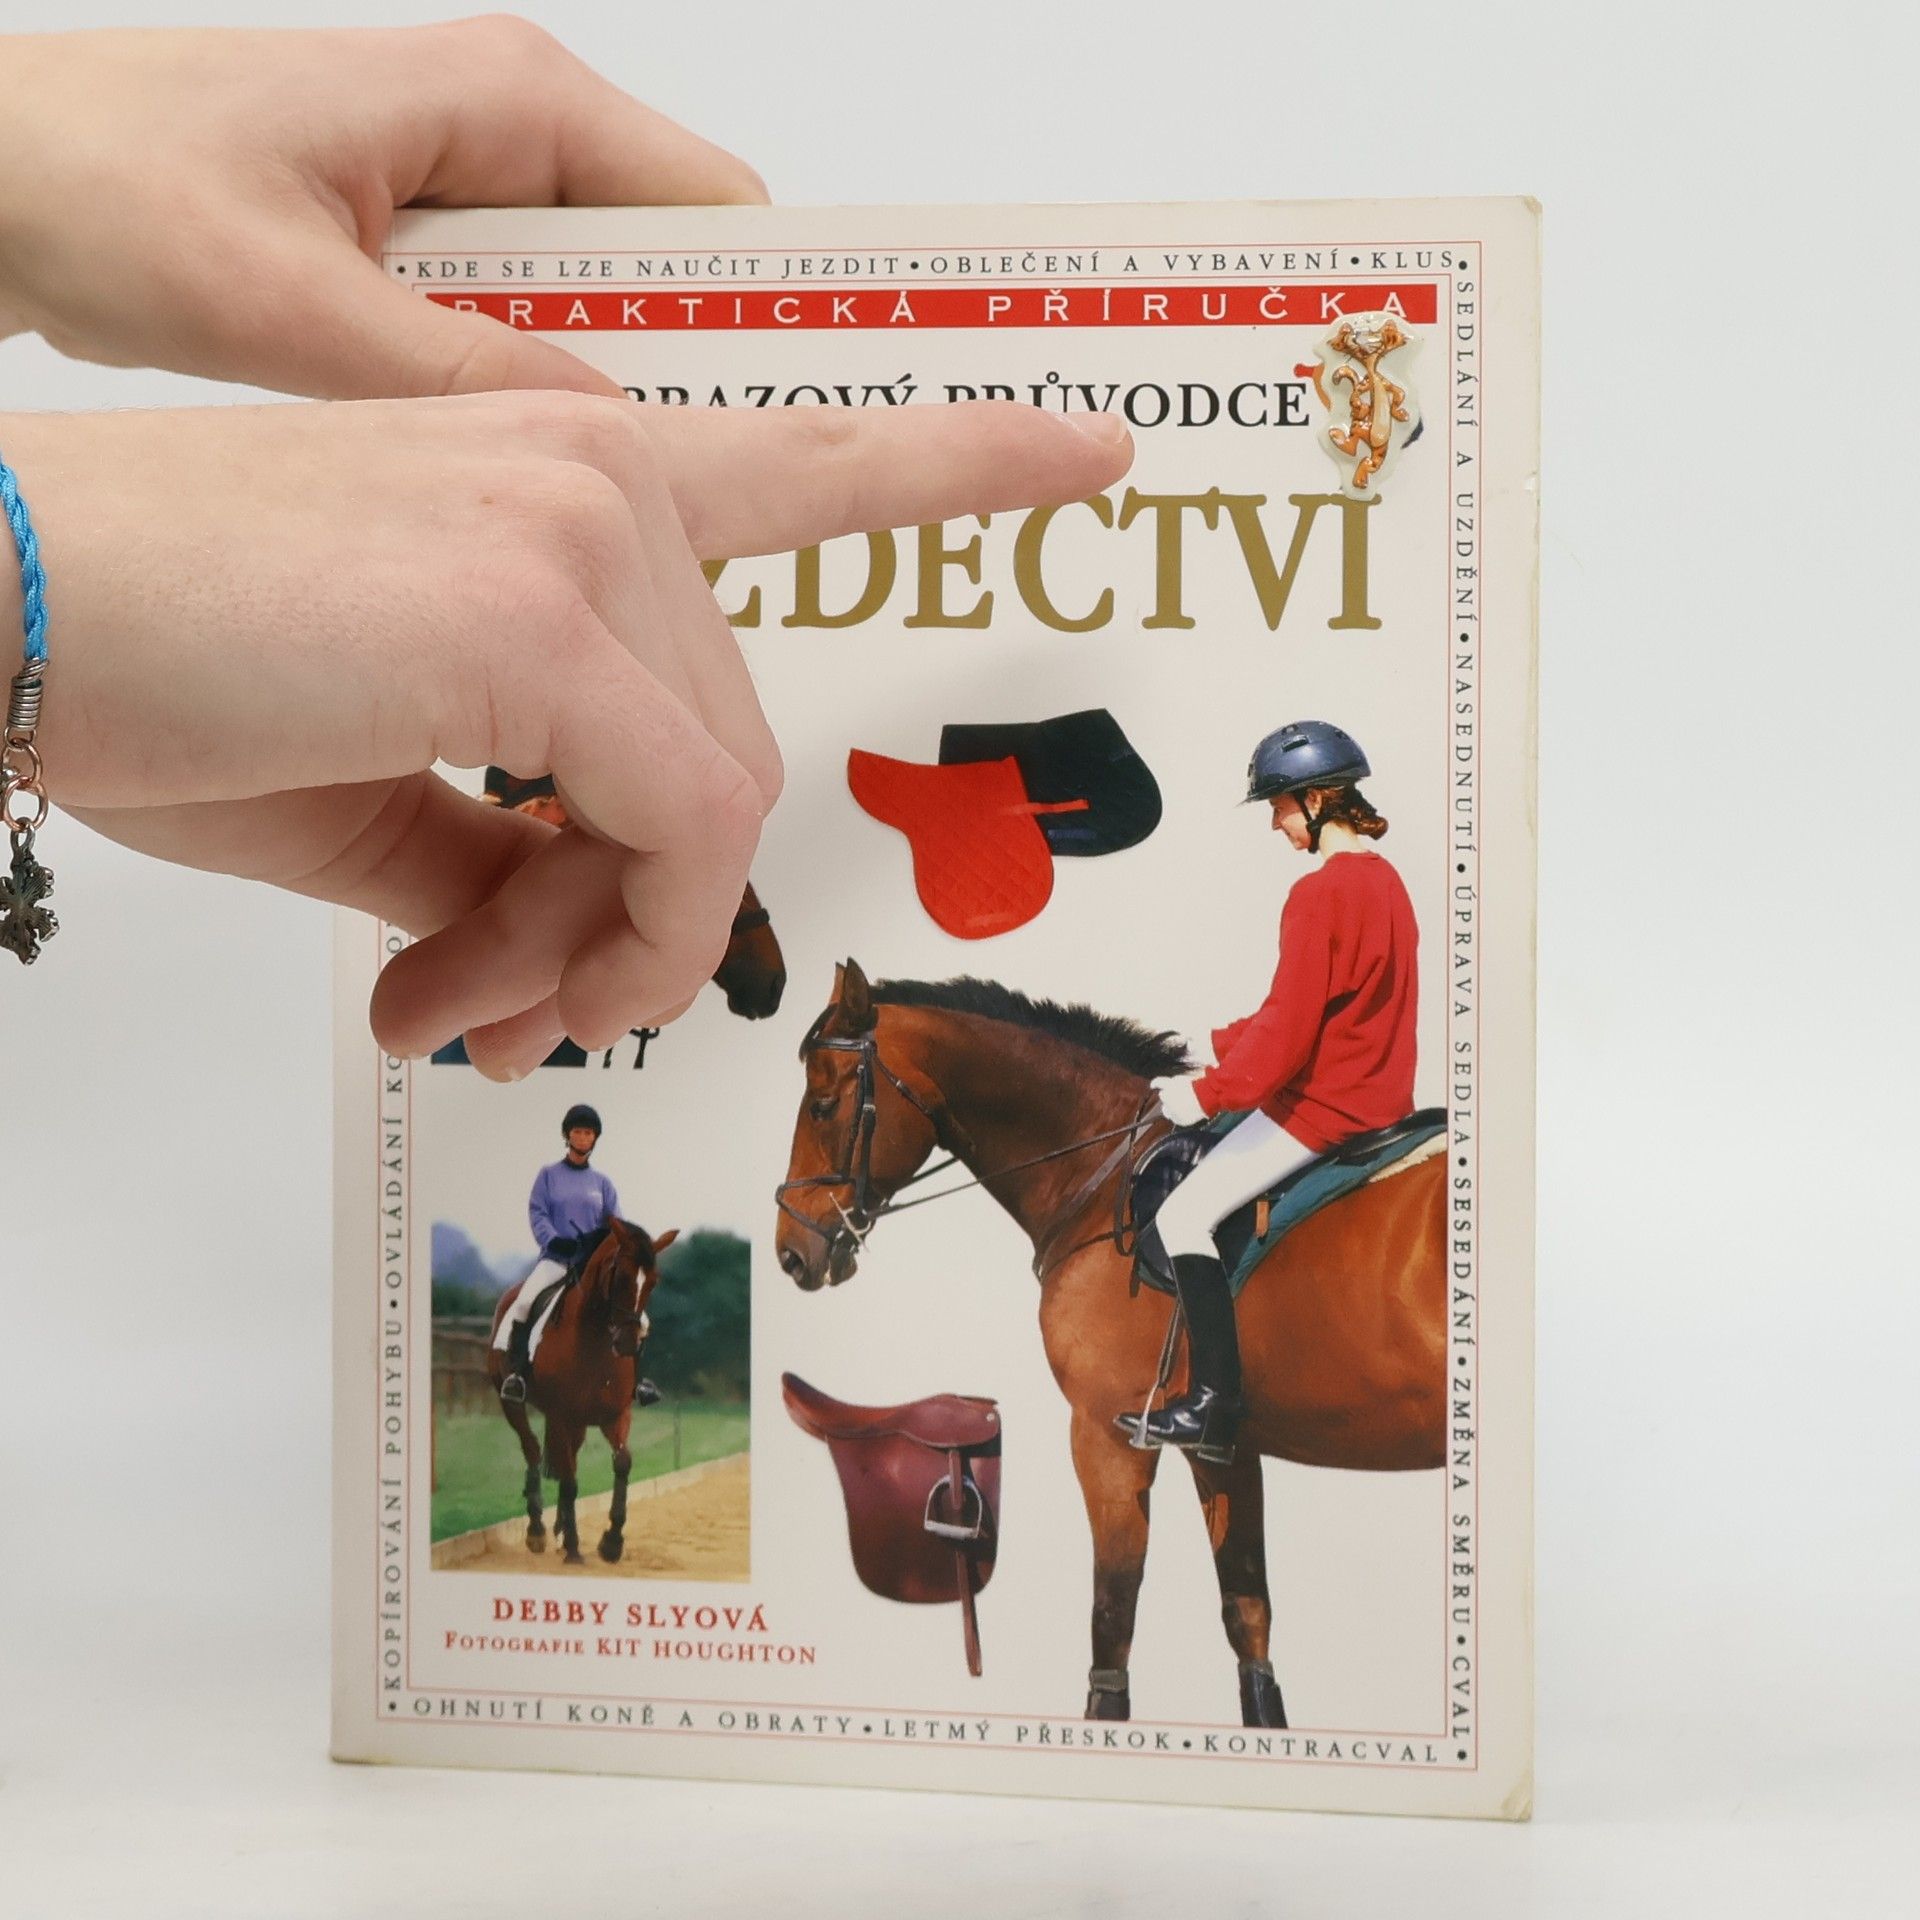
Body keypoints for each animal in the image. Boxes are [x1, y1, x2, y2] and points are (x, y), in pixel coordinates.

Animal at [487, 1220, 679, 1564]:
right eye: (622, 1275)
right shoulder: (564, 1414)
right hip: (514, 1404)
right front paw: (576, 1549)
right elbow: (570, 1482)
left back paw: (560, 1532)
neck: (594, 1341)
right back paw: (538, 1531)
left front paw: (612, 1542)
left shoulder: (615, 1415)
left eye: (653, 1281)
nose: (627, 1344)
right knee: (533, 1450)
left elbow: (622, 1463)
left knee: (565, 1461)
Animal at [773, 960, 1445, 1728]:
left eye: (823, 1104)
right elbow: (1248, 1619)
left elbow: (1110, 1622)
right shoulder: (1224, 1451)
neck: (1100, 1183)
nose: (791, 1251)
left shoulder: (1106, 1439)